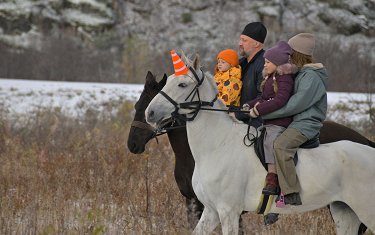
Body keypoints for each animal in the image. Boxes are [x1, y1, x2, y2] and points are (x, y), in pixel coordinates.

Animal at [145, 54, 375, 234]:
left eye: (182, 84)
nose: (150, 113)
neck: (218, 145)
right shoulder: (210, 211)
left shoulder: (229, 212)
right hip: (344, 212)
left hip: (366, 210)